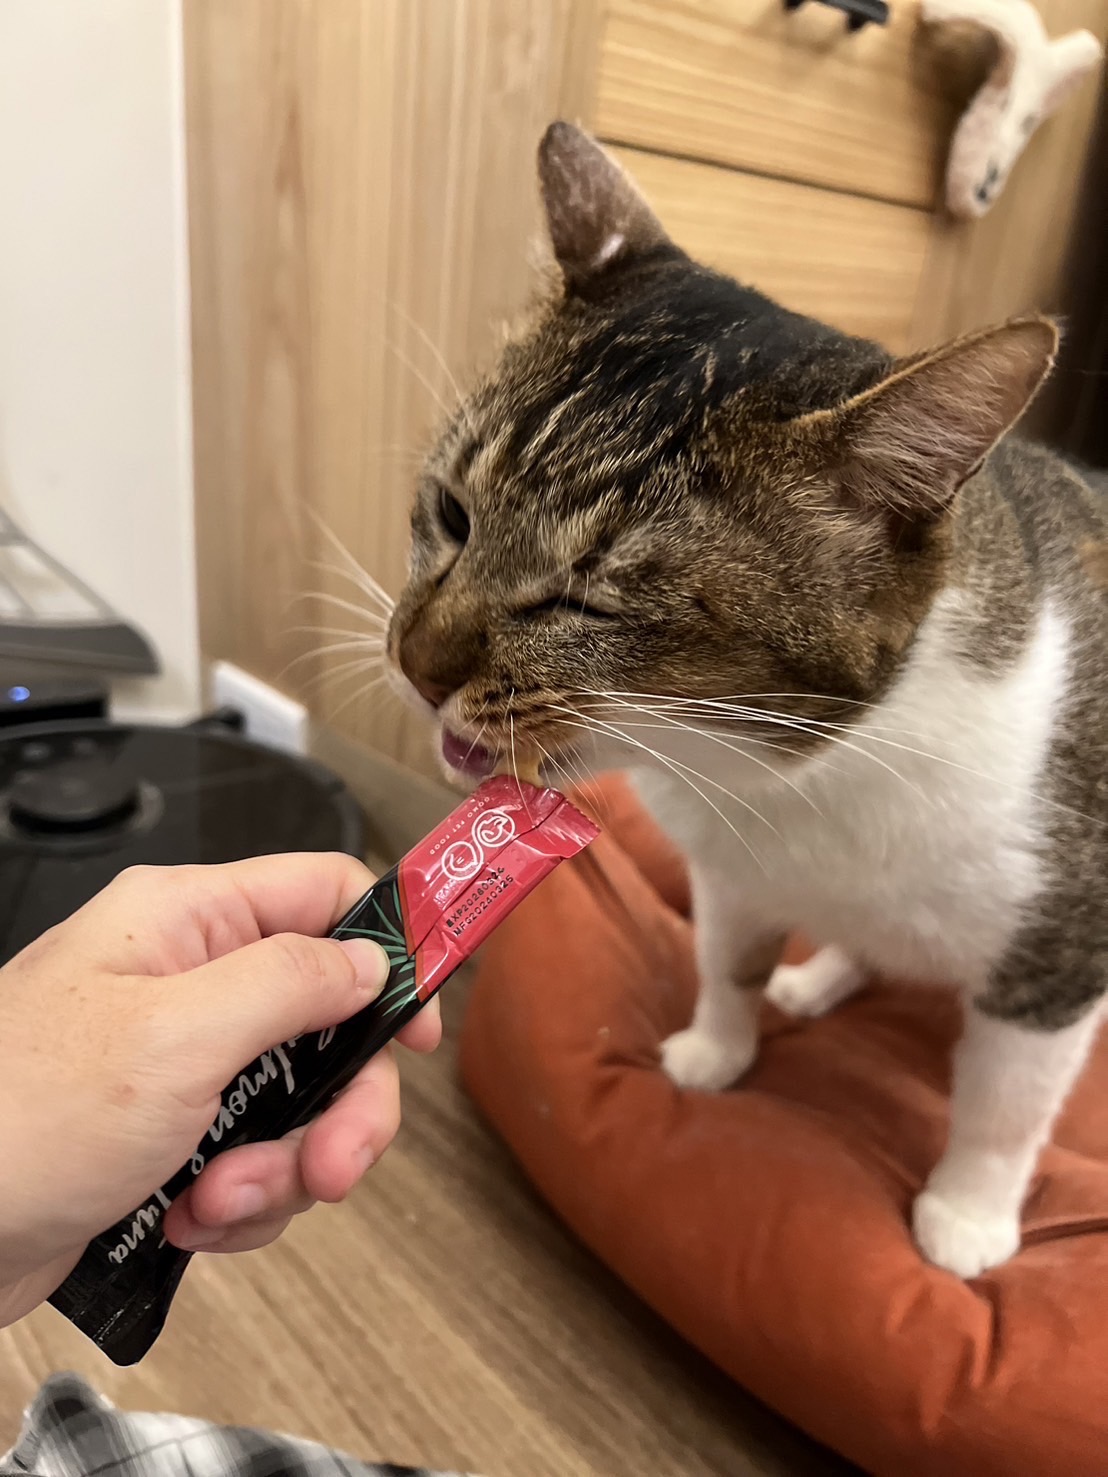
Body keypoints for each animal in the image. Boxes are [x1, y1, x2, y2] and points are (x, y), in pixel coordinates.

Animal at [387, 121, 1108, 1279]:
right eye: (452, 512)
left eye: (587, 597)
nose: (415, 663)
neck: (796, 781)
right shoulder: (732, 874)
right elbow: (726, 962)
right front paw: (715, 1049)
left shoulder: (1057, 949)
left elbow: (1004, 1105)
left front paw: (968, 1216)